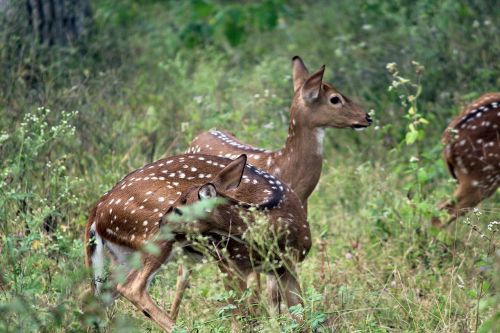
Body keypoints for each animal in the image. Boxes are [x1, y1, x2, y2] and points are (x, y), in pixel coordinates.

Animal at [85, 153, 312, 330]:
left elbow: (301, 316)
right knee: (131, 288)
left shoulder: (287, 266)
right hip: (152, 241)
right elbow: (241, 317)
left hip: (123, 256)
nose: (161, 221)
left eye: (179, 209)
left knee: (98, 297)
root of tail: (99, 208)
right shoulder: (229, 262)